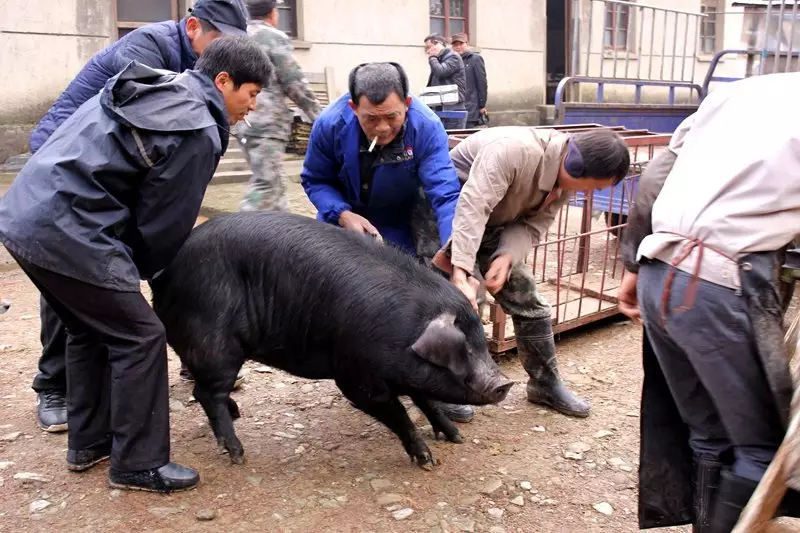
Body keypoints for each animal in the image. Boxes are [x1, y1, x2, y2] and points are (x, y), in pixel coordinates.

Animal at [150, 210, 512, 468]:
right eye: (463, 350)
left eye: (480, 341)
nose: (504, 383)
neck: (404, 328)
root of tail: (165, 273)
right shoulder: (355, 377)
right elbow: (397, 412)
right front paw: (427, 461)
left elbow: (427, 401)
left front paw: (455, 437)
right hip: (214, 342)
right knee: (206, 392)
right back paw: (238, 454)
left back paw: (237, 414)